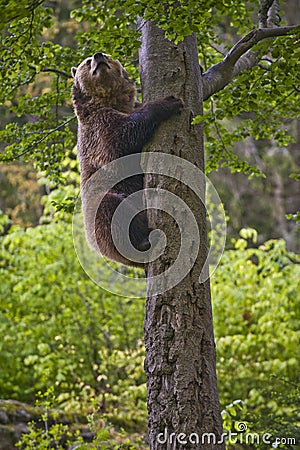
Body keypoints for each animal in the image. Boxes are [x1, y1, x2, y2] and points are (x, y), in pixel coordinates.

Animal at [71, 51, 182, 268]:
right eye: (87, 62)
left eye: (107, 54)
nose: (98, 56)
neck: (110, 101)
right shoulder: (97, 130)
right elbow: (120, 139)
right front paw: (169, 102)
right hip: (98, 207)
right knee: (112, 211)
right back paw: (142, 240)